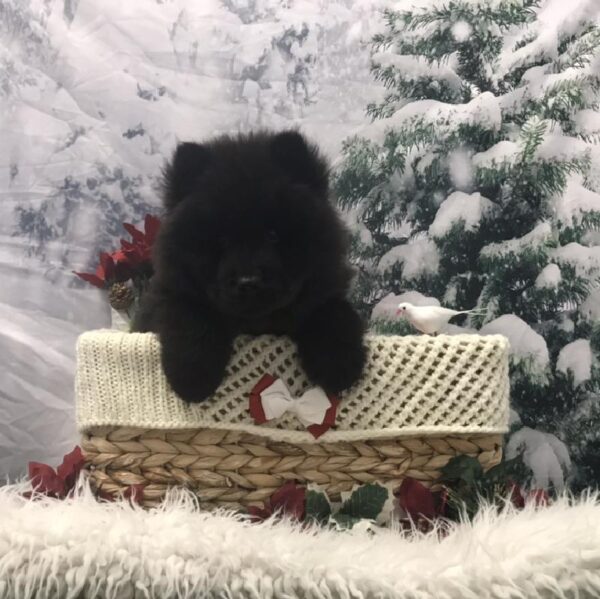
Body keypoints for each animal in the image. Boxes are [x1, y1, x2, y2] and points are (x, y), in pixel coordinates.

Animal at [135, 131, 366, 404]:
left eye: (272, 235)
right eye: (222, 240)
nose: (248, 281)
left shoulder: (325, 292)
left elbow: (334, 313)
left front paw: (339, 366)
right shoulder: (170, 296)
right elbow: (190, 318)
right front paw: (193, 380)